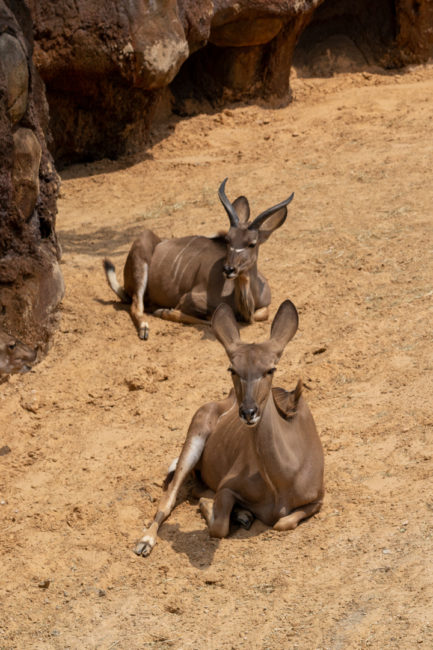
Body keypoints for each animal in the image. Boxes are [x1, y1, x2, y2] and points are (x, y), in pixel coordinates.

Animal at [102, 178, 292, 340]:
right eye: (228, 240)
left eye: (252, 244)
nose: (229, 269)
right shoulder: (188, 299)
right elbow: (210, 317)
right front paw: (164, 312)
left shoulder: (263, 307)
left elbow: (261, 314)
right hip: (141, 255)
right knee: (136, 306)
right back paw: (145, 327)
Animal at [133, 296, 322, 556]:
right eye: (232, 369)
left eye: (270, 369)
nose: (248, 412)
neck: (282, 480)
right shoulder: (226, 487)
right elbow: (219, 526)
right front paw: (212, 507)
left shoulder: (318, 499)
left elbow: (284, 522)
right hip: (194, 439)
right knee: (170, 496)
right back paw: (146, 541)